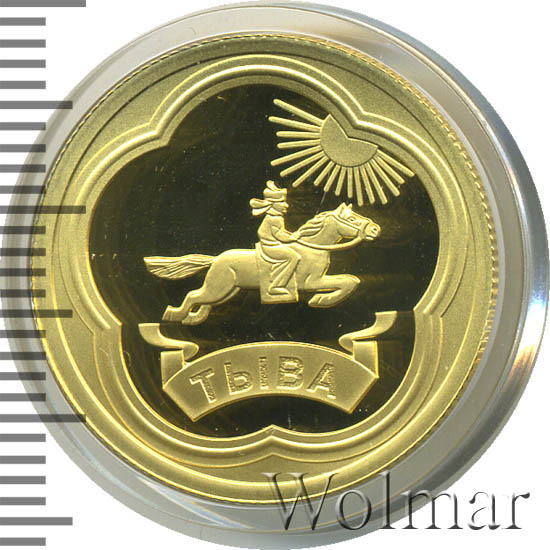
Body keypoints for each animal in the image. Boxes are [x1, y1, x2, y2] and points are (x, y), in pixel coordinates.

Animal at [145, 203, 380, 325]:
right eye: (352, 219)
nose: (376, 229)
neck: (313, 248)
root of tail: (216, 258)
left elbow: (349, 281)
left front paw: (322, 299)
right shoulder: (311, 281)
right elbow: (347, 281)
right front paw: (322, 299)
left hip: (227, 290)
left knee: (203, 301)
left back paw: (194, 318)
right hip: (218, 286)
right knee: (193, 295)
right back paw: (175, 315)